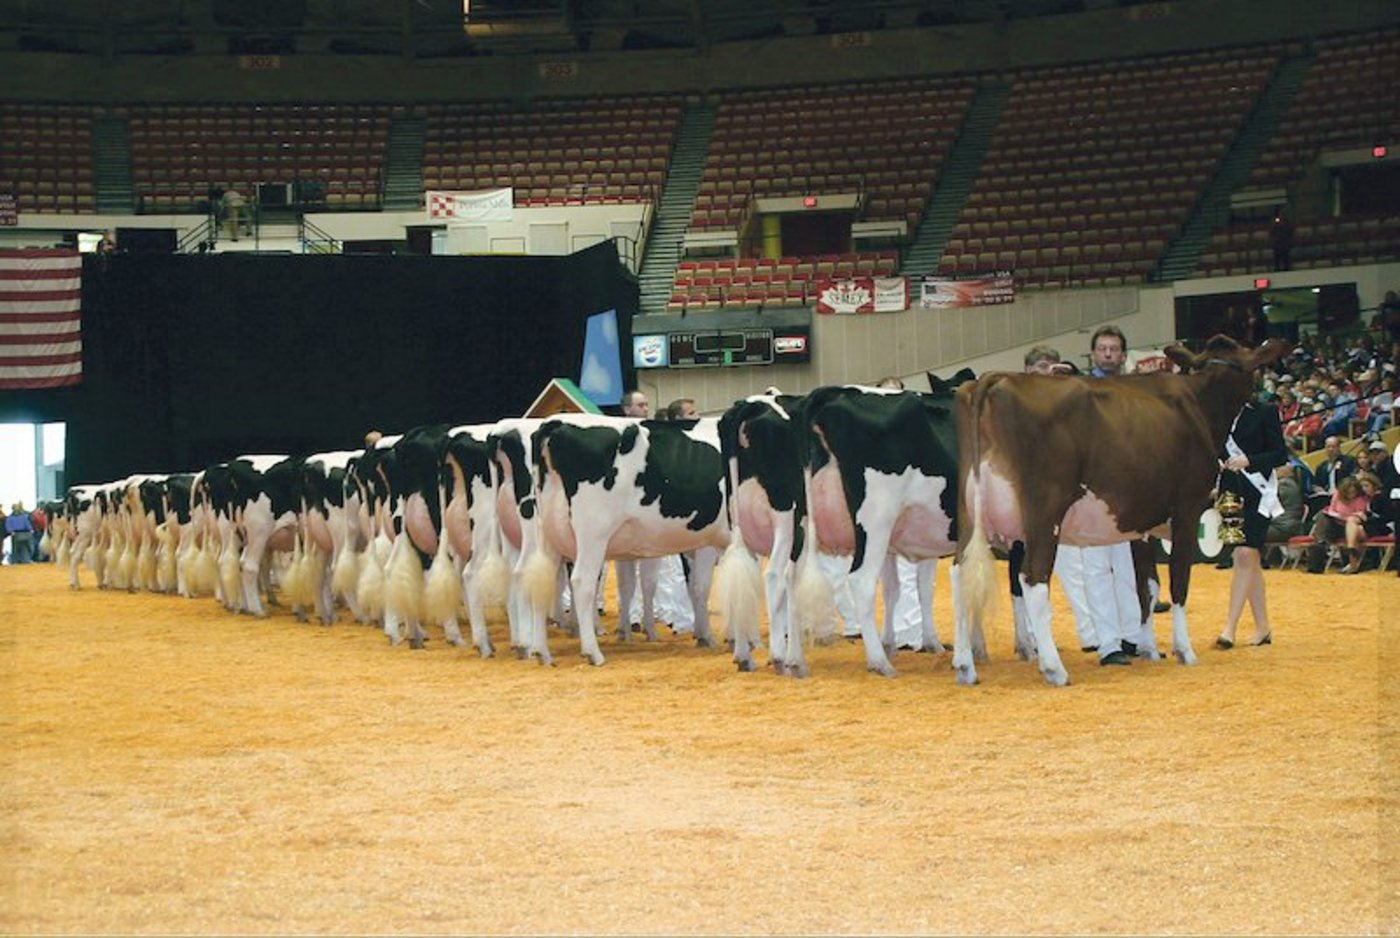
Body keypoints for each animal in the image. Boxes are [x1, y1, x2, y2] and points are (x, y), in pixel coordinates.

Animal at [953, 335, 1289, 686]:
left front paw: (1149, 649)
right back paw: (1054, 668)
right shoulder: (1186, 511)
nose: (1267, 396)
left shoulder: (1142, 527)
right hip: (1044, 514)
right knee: (1033, 579)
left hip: (969, 513)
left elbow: (1147, 589)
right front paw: (1184, 650)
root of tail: (997, 378)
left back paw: (965, 666)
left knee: (960, 573)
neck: (1199, 404)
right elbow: (1178, 584)